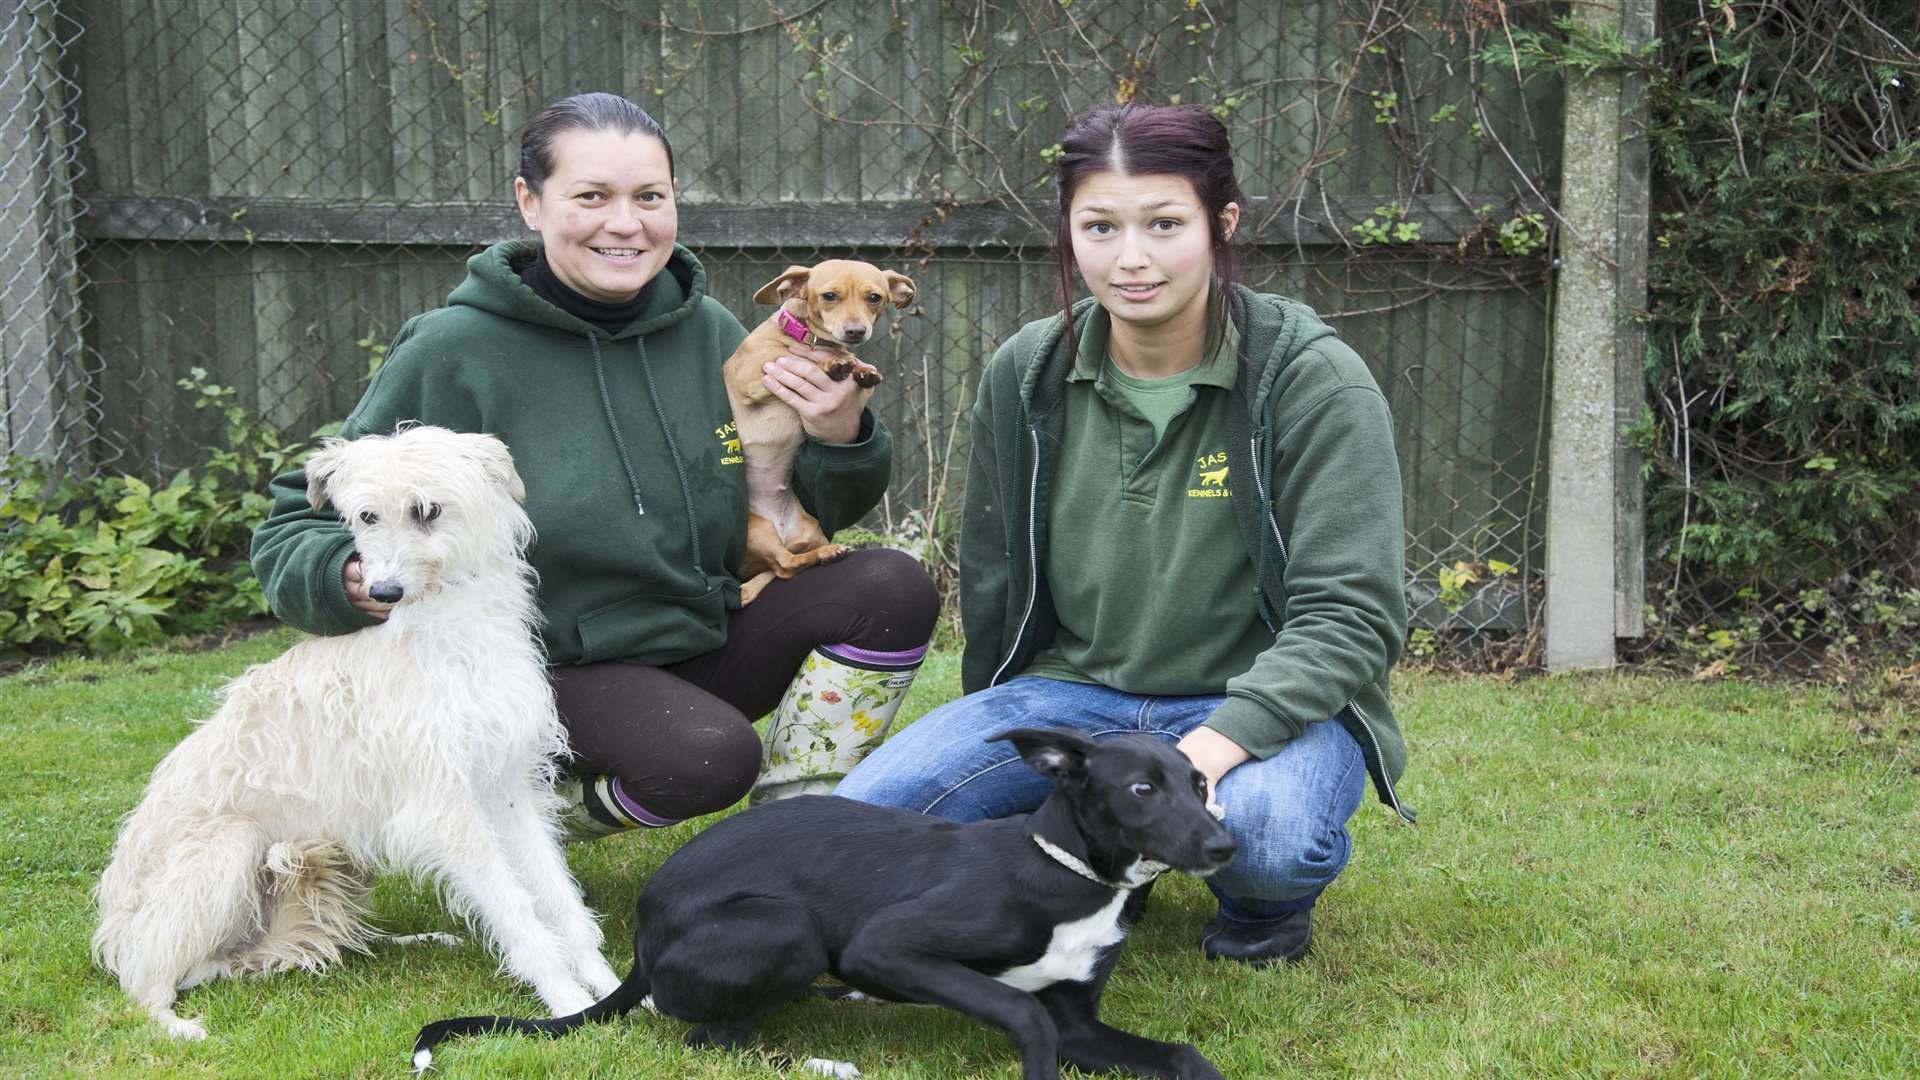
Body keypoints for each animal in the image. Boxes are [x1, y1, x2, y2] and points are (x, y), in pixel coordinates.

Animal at [91, 422, 614, 1037]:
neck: (450, 630)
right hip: (230, 850)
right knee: (145, 982)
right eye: (366, 516)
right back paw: (175, 1023)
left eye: (427, 510)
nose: (383, 592)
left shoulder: (506, 788)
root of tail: (114, 929)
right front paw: (568, 1002)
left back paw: (413, 940)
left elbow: (557, 896)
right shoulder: (445, 811)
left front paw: (609, 987)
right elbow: (516, 911)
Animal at [412, 722, 1236, 1076]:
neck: (1068, 874)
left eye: (1200, 784)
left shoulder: (1080, 1022)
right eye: (1142, 790)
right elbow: (1020, 1010)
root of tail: (642, 946)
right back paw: (819, 1063)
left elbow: (1185, 1055)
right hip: (792, 930)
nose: (1226, 849)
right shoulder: (887, 947)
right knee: (708, 1041)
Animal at [725, 255, 921, 599]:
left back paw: (827, 553)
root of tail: (782, 531)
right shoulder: (753, 378)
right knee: (785, 565)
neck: (808, 337)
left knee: (786, 566)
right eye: (829, 296)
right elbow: (801, 358)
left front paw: (861, 369)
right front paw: (832, 364)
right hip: (756, 529)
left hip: (812, 528)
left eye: (875, 298)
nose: (855, 332)